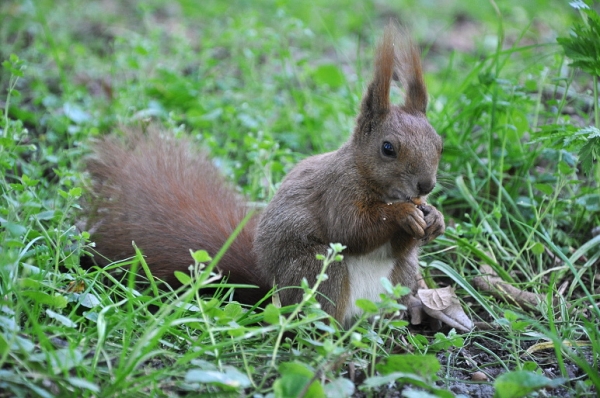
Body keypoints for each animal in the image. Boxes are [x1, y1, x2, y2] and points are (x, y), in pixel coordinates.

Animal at [88, 24, 446, 326]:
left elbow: (398, 243)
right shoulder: (337, 191)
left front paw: (434, 219)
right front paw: (402, 214)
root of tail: (273, 291)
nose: (425, 184)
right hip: (318, 271)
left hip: (400, 277)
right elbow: (351, 228)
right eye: (387, 148)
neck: (375, 182)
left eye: (439, 144)